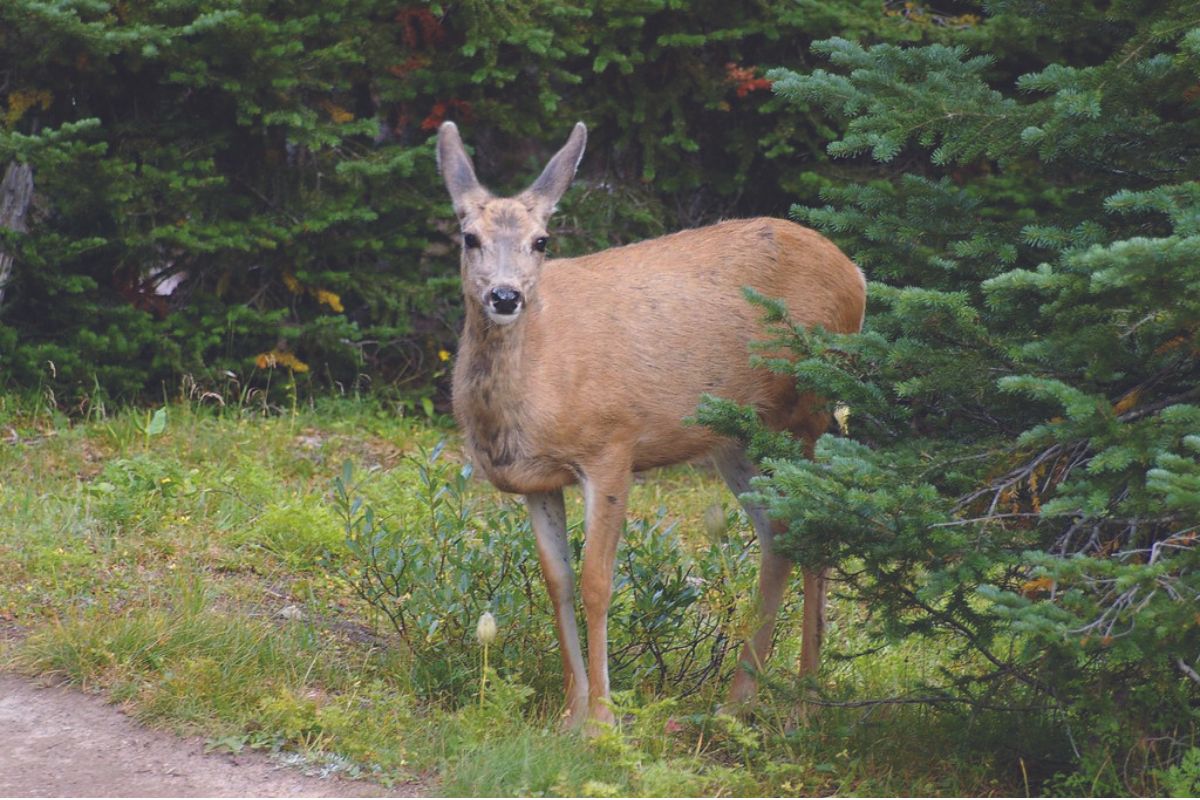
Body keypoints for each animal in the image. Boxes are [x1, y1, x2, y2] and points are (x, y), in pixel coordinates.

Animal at [437, 120, 866, 730]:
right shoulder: (537, 480)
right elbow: (556, 581)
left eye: (542, 241)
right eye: (469, 236)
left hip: (811, 408)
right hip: (737, 437)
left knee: (818, 528)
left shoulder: (612, 447)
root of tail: (857, 274)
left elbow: (597, 582)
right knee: (778, 535)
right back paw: (736, 701)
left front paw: (602, 720)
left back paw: (804, 704)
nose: (505, 295)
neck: (536, 385)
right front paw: (569, 715)